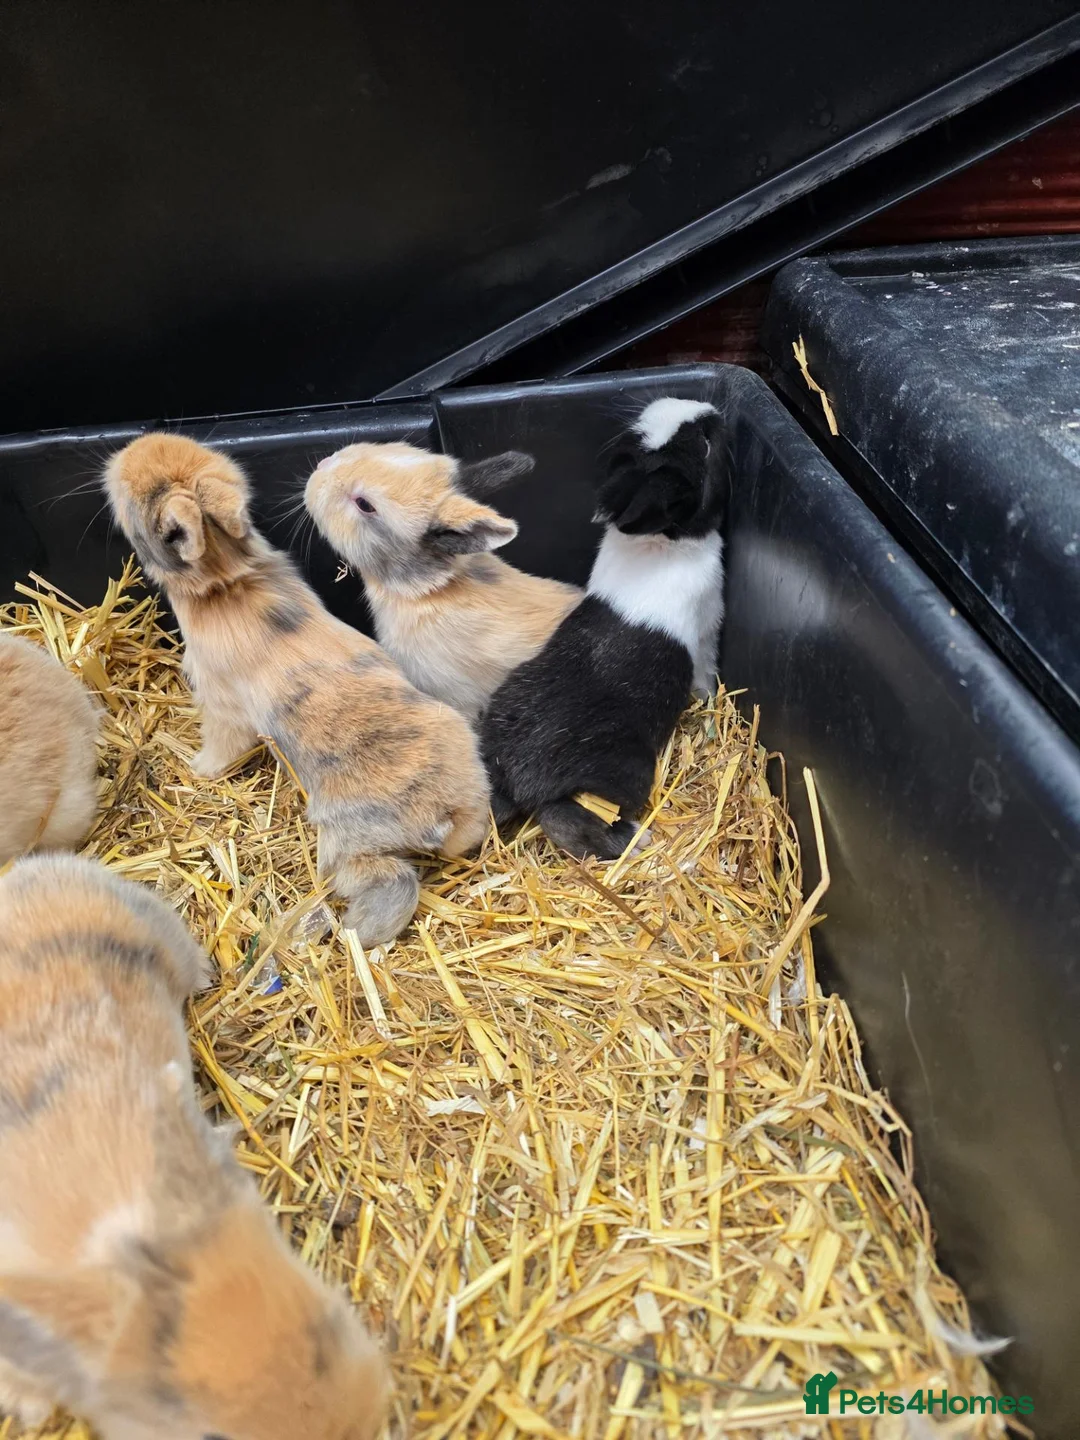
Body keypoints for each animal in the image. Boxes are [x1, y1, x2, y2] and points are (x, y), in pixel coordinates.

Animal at [104, 432, 490, 947]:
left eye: (135, 497)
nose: (130, 448)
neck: (229, 579)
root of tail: (443, 811)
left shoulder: (220, 706)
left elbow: (222, 745)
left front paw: (199, 769)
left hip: (347, 845)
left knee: (390, 883)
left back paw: (352, 931)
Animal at [480, 397, 730, 860]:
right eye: (705, 446)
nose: (710, 410)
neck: (658, 542)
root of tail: (515, 776)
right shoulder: (708, 626)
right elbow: (705, 668)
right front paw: (707, 701)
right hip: (625, 770)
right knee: (565, 820)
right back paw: (635, 839)